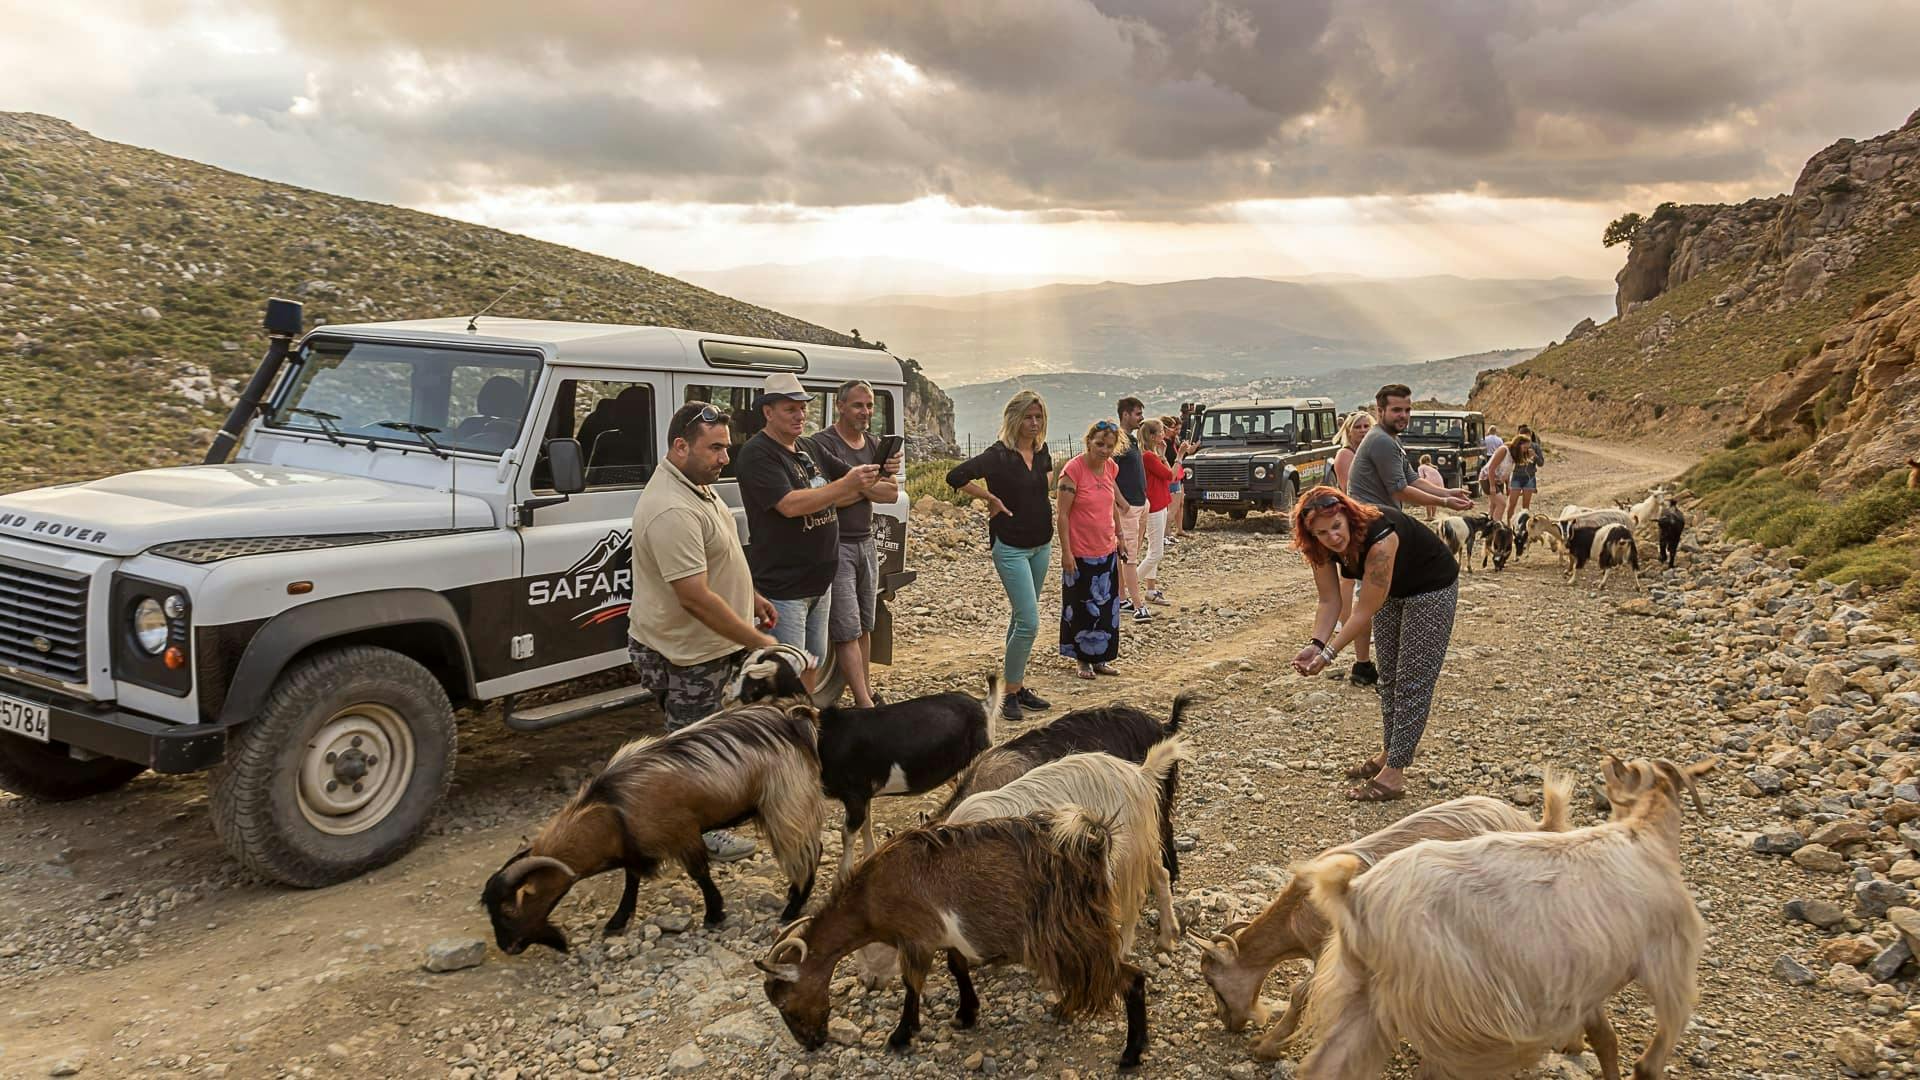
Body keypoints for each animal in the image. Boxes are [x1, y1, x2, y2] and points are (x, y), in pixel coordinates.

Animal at [725, 641, 1006, 880]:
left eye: (751, 680)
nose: (726, 698)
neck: (819, 730)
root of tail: (984, 705)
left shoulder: (854, 793)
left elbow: (847, 833)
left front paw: (842, 875)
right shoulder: (865, 793)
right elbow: (866, 824)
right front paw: (870, 854)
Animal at [760, 803, 1152, 1060]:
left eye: (784, 1001)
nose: (811, 1042)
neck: (872, 893)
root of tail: (1095, 841)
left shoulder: (916, 937)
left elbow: (912, 984)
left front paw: (900, 1036)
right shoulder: (946, 938)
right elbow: (957, 968)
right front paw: (966, 1014)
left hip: (1074, 934)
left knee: (1130, 977)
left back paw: (1130, 1055)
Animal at [1198, 772, 1574, 1060]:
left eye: (1212, 981)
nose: (1228, 1022)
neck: (1300, 909)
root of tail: (1537, 825)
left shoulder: (1329, 947)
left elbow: (1301, 993)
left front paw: (1267, 1046)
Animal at [1297, 753, 1720, 1076]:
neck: (1644, 836)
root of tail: (1355, 896)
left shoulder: (1589, 974)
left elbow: (1603, 1036)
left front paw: (1574, 1044)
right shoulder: (1671, 965)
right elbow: (1646, 1060)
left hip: (1363, 995)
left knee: (1324, 1067)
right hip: (1455, 1020)